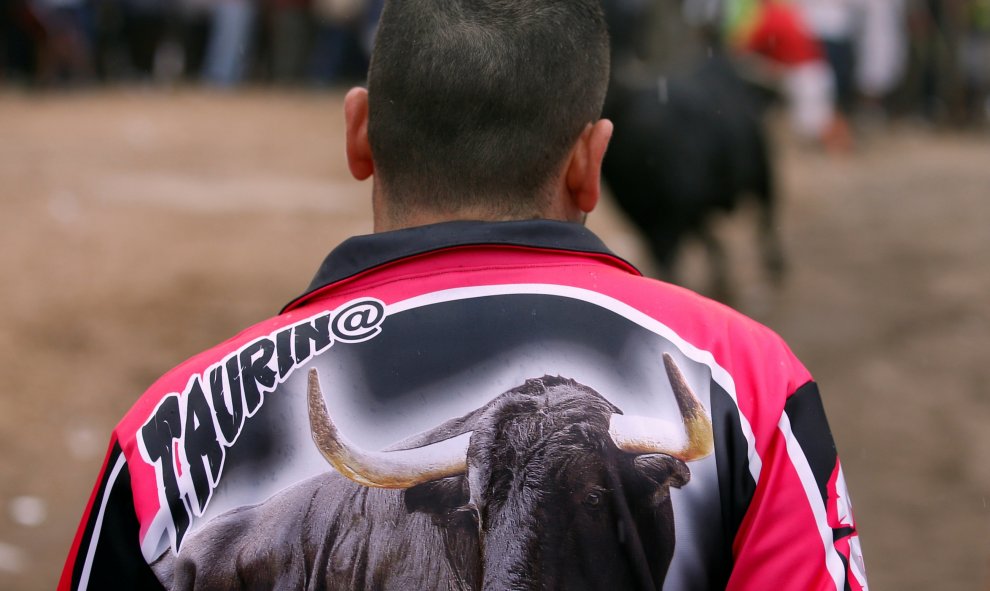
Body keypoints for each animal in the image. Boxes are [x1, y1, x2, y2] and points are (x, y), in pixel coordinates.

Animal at [600, 0, 788, 300]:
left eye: (633, 12)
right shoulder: (641, 215)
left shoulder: (671, 217)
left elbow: (668, 263)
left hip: (762, 167)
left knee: (767, 211)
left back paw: (776, 266)